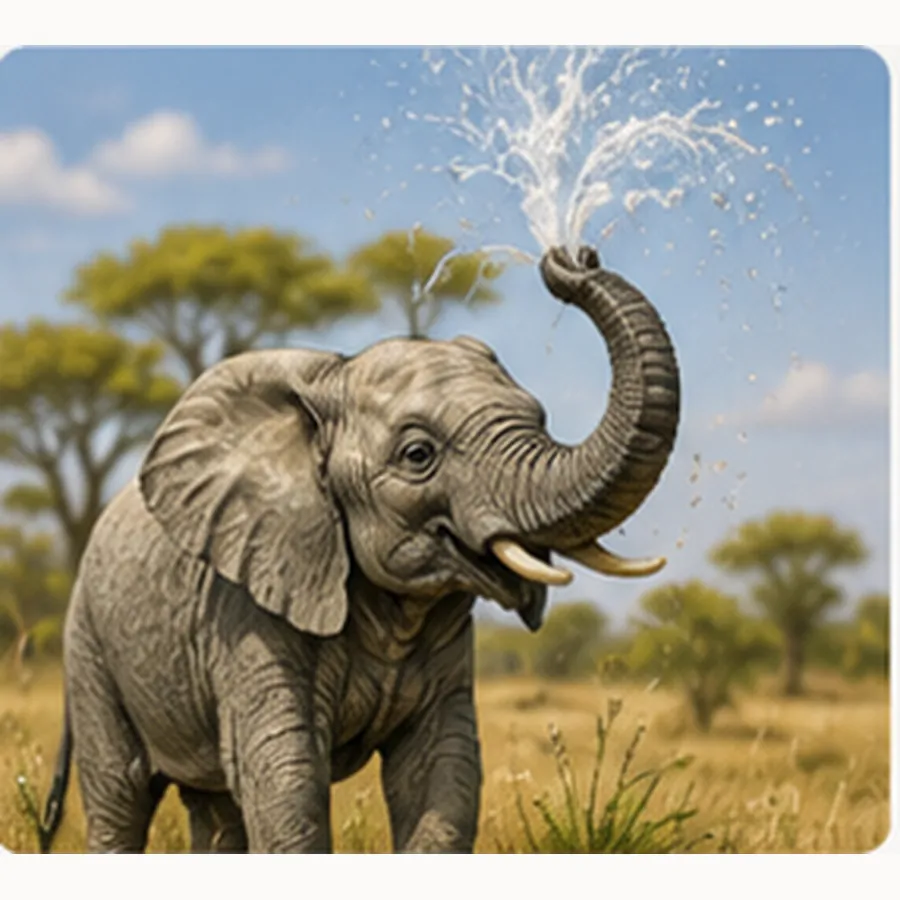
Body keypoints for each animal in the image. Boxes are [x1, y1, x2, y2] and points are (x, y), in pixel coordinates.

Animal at [40, 244, 680, 854]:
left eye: (541, 418)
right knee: (121, 795)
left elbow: (441, 773)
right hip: (90, 643)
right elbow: (285, 774)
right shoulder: (247, 606)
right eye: (418, 455)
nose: (577, 257)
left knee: (216, 814)